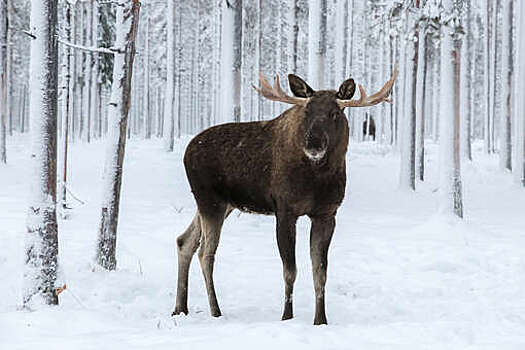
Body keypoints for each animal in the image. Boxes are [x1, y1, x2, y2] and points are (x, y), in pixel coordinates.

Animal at [172, 67, 398, 326]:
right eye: (307, 111)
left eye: (334, 113)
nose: (313, 144)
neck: (318, 177)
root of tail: (187, 151)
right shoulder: (285, 210)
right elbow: (290, 270)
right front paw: (287, 316)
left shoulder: (327, 213)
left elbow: (320, 272)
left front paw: (320, 320)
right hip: (210, 201)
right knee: (205, 253)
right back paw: (215, 311)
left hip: (221, 204)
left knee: (184, 241)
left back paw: (180, 308)